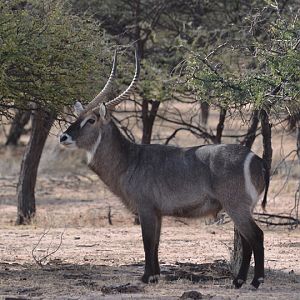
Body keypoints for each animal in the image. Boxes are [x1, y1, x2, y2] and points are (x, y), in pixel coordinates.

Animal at [60, 50, 270, 290]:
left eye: (91, 120)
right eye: (77, 118)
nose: (63, 137)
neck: (130, 159)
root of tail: (257, 159)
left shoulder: (146, 209)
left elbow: (147, 241)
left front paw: (146, 277)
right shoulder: (158, 212)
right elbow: (157, 243)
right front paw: (156, 275)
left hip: (236, 206)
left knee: (256, 236)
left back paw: (255, 281)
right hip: (241, 208)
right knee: (246, 240)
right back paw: (238, 281)